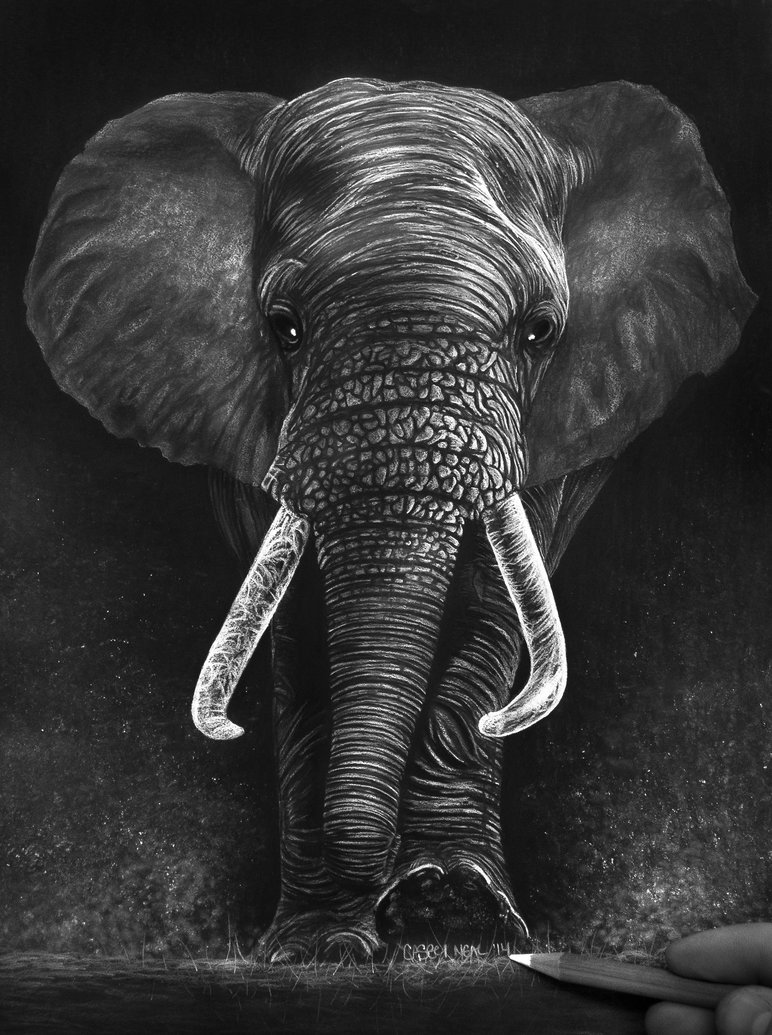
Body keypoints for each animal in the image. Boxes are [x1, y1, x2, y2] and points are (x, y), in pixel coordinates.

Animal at [25, 78, 755, 960]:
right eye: (283, 326)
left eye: (541, 330)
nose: (374, 876)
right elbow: (300, 625)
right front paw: (324, 944)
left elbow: (490, 607)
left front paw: (453, 909)